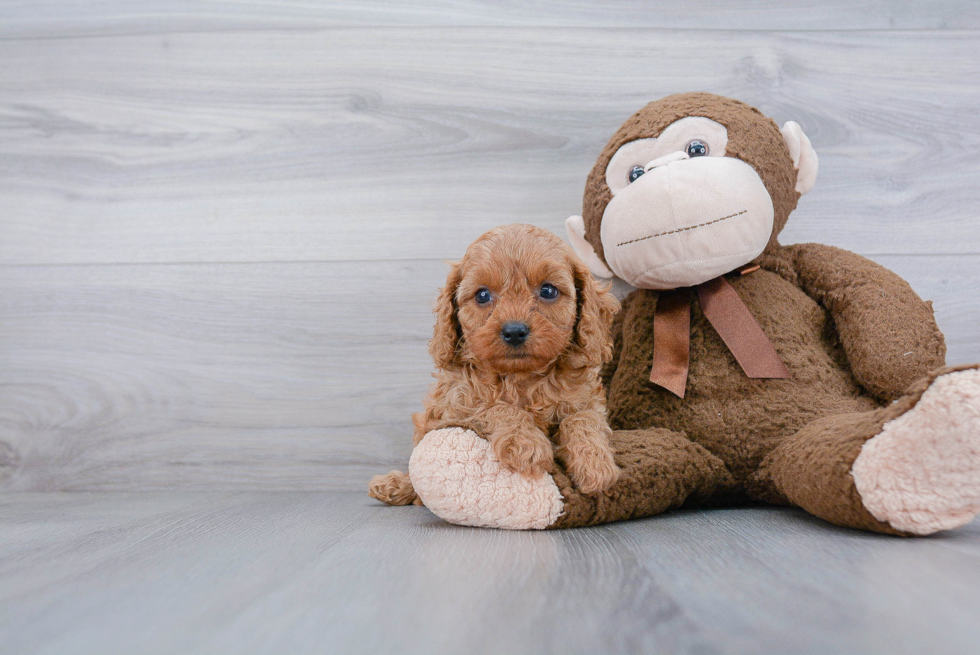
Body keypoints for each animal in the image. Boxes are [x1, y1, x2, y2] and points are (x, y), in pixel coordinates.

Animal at [368, 223, 620, 504]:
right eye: (482, 295)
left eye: (548, 291)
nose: (514, 331)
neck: (520, 378)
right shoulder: (453, 408)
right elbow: (494, 407)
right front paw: (526, 445)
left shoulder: (586, 400)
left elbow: (583, 419)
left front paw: (596, 464)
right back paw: (394, 485)